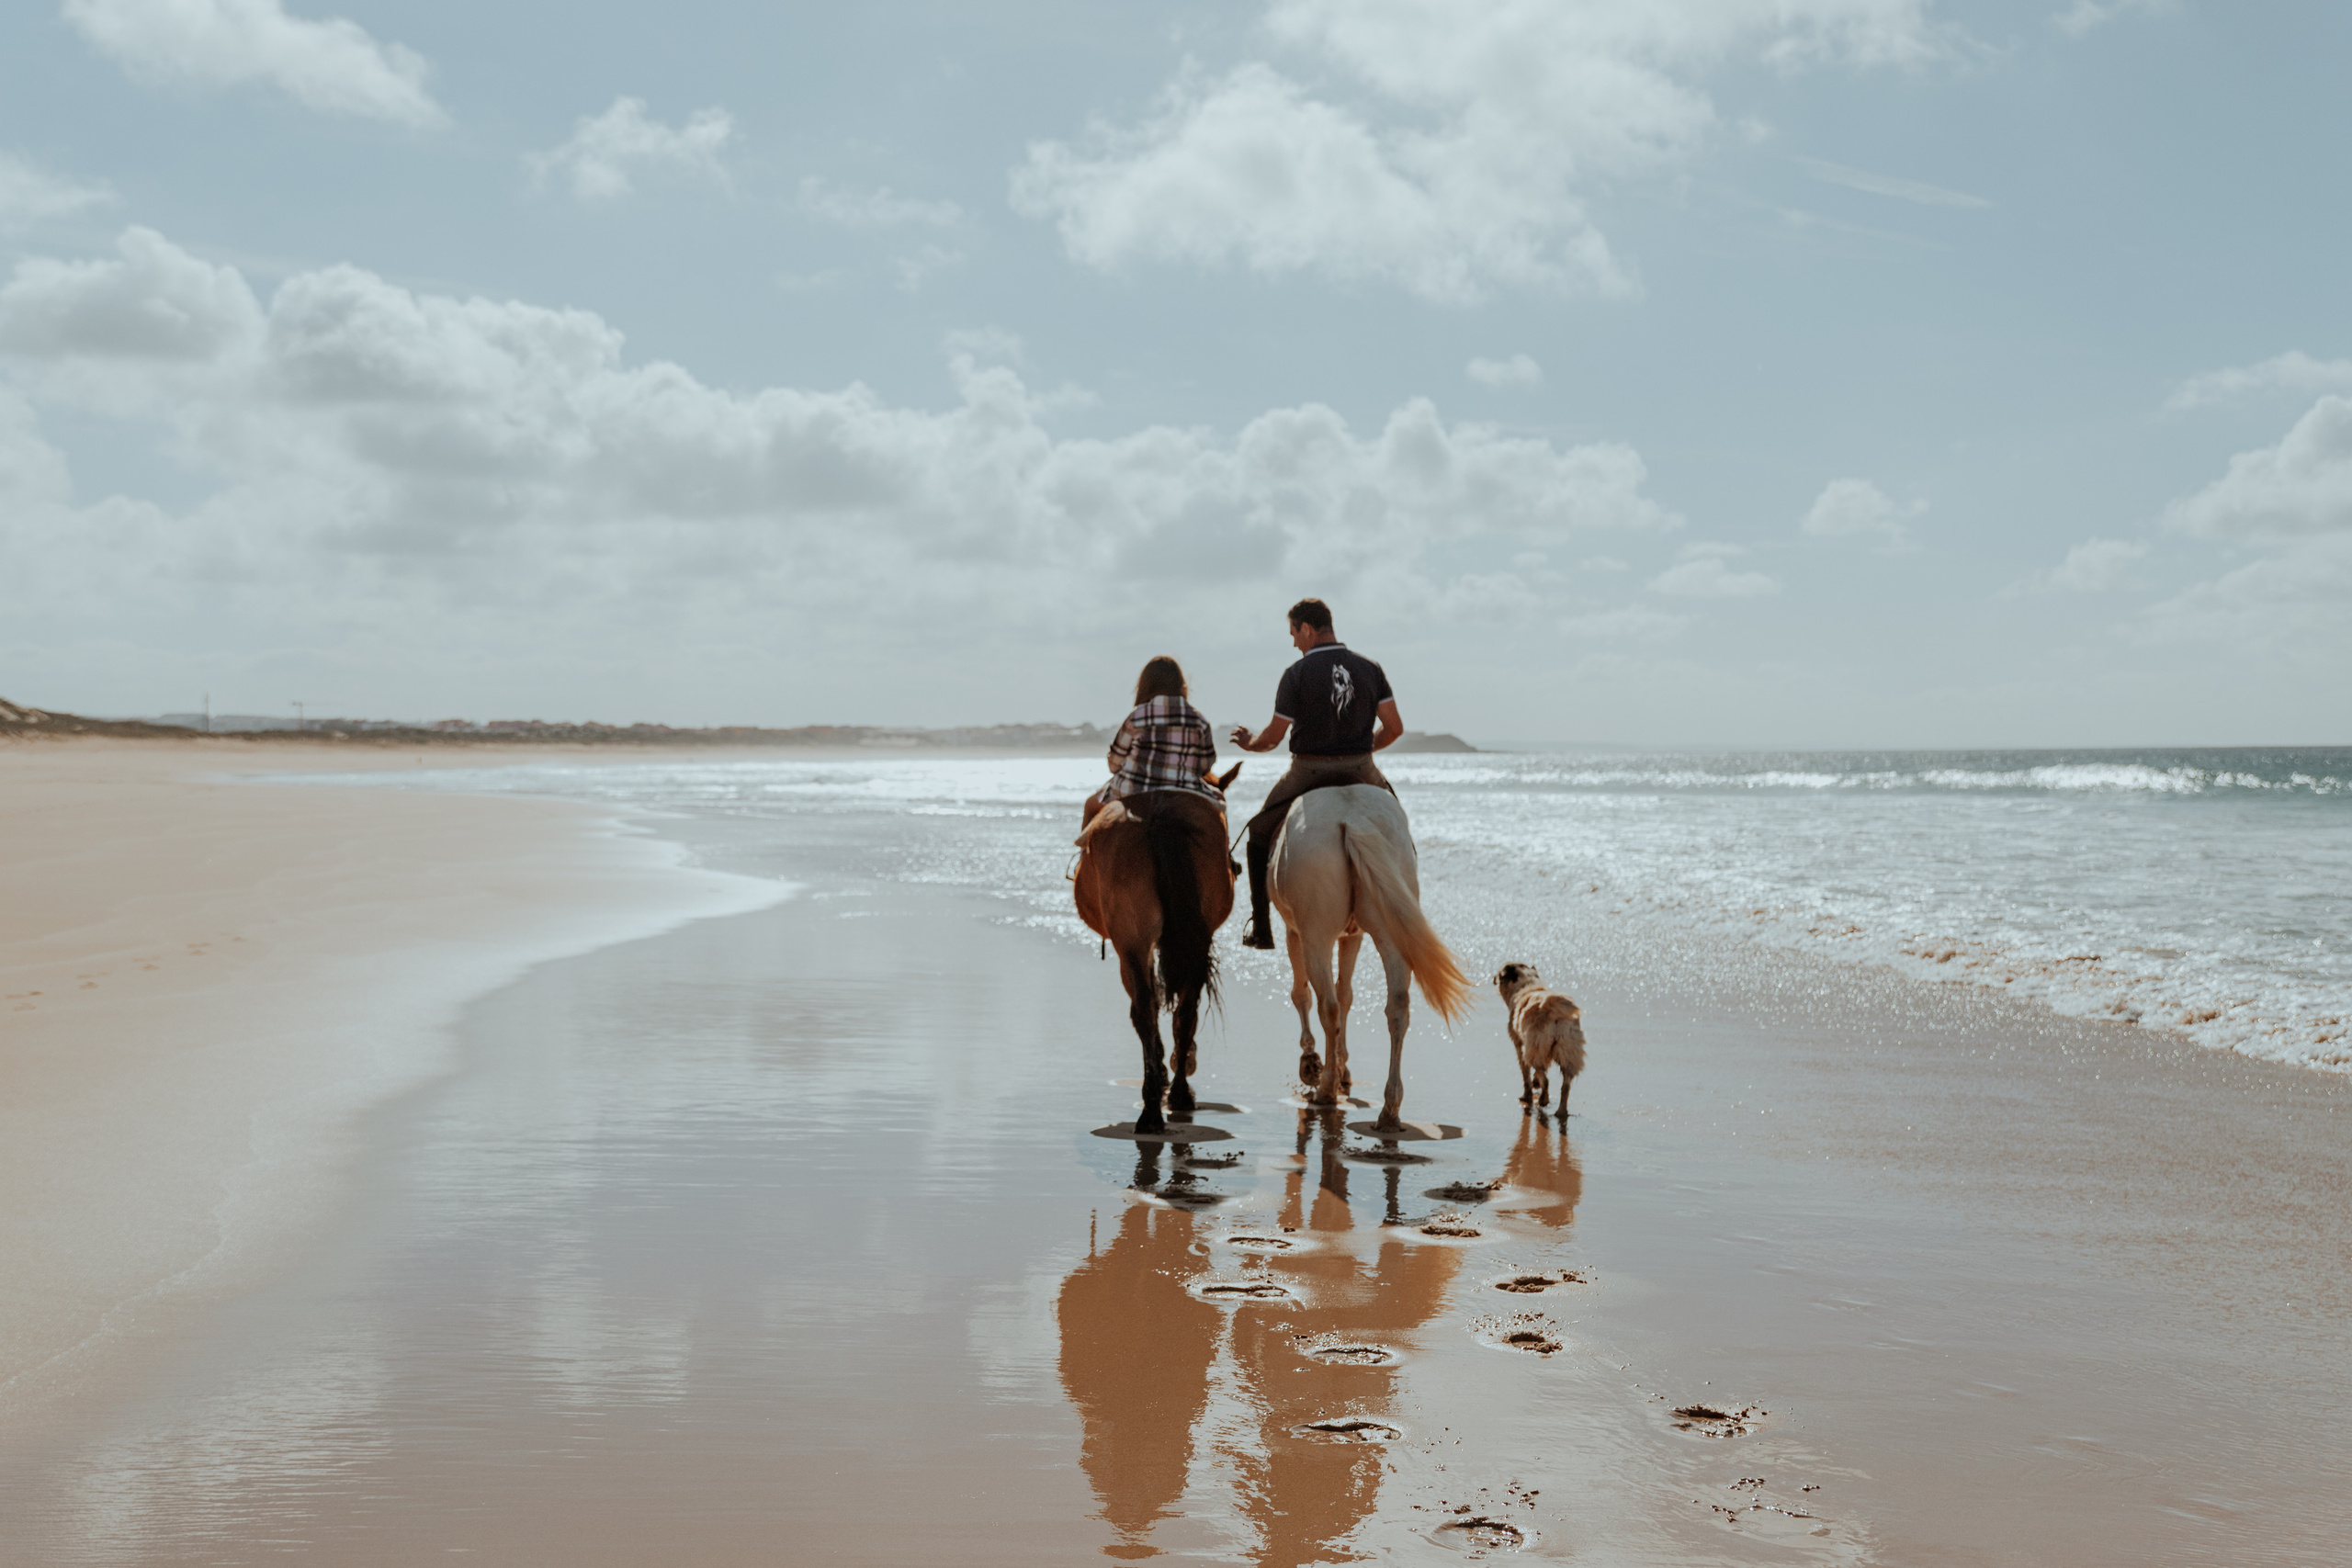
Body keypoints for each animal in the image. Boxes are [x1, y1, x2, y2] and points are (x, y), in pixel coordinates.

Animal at [1072, 767, 1240, 1135]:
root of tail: (1160, 816)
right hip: (1193, 938)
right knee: (1187, 1010)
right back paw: (1178, 1094)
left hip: (1130, 942)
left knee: (1144, 1009)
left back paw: (1152, 1105)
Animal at [1269, 784, 1469, 1132]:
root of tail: (1353, 818)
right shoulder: (1354, 936)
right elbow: (1348, 994)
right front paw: (1341, 1066)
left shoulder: (1294, 932)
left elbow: (1302, 994)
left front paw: (1312, 1062)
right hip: (1389, 929)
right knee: (1397, 1006)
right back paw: (1389, 1109)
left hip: (1315, 935)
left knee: (1328, 1005)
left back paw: (1325, 1089)